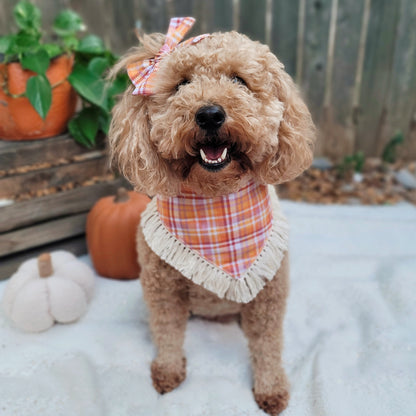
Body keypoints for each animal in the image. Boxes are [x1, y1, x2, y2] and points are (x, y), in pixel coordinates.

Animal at [109, 17, 314, 416]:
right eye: (181, 84)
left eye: (239, 80)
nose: (209, 114)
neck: (215, 200)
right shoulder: (163, 289)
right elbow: (168, 332)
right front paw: (168, 372)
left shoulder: (269, 294)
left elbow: (267, 344)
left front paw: (270, 389)